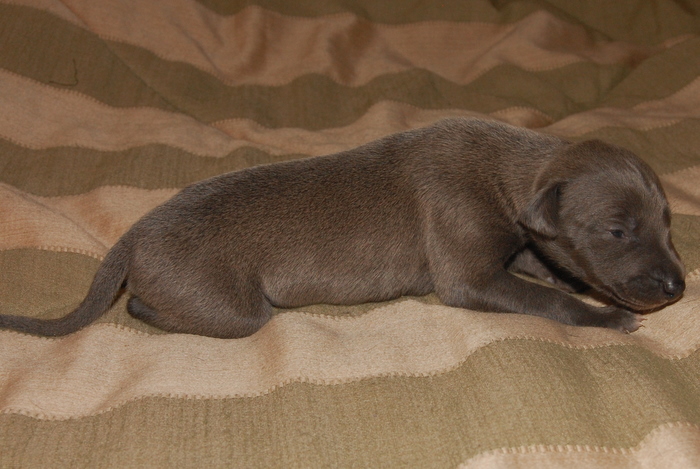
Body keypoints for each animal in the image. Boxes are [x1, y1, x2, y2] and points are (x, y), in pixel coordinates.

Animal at [0, 118, 686, 338]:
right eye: (617, 230)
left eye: (669, 221)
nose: (678, 286)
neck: (509, 170)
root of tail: (133, 235)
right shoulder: (468, 272)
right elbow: (546, 299)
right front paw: (607, 316)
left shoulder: (516, 243)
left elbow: (546, 269)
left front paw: (580, 285)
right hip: (231, 305)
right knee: (152, 308)